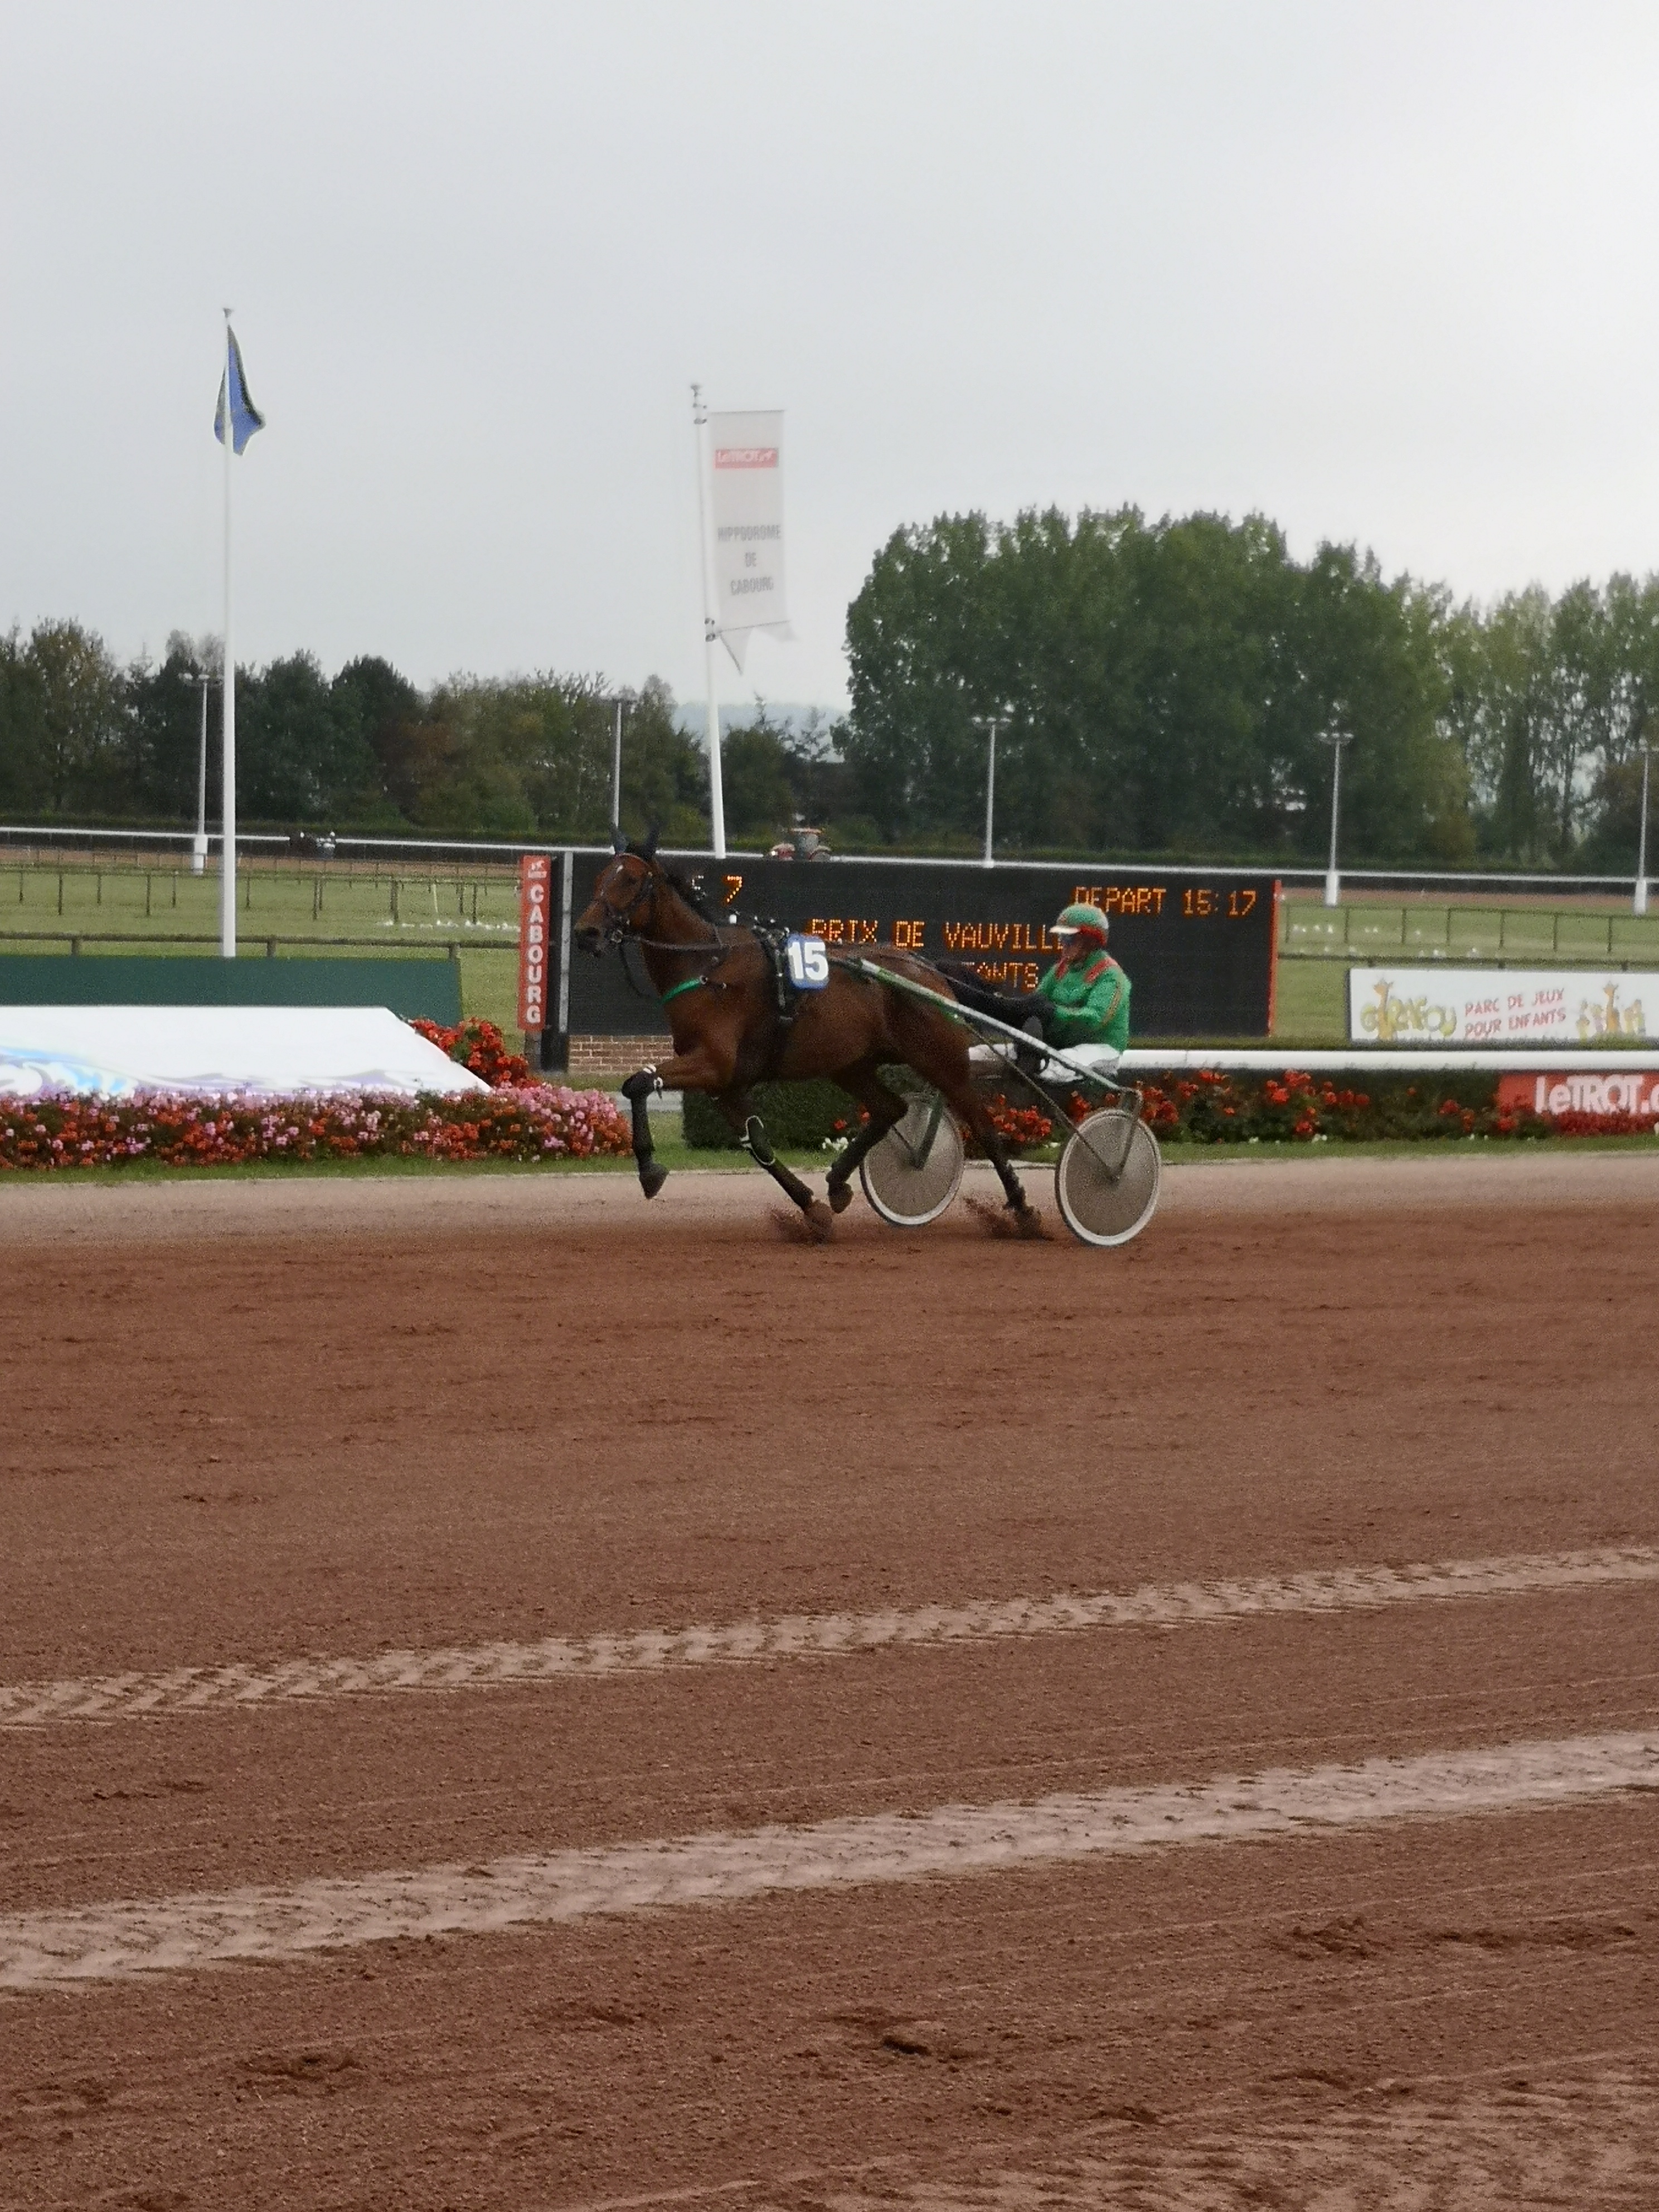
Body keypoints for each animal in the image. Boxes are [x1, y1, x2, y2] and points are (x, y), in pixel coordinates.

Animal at [572, 835, 1040, 1237]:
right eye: (599, 878)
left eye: (631, 880)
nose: (585, 932)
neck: (707, 966)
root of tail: (927, 968)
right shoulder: (725, 1084)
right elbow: (758, 1144)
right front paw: (812, 1208)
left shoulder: (713, 1063)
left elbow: (638, 1082)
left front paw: (649, 1170)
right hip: (850, 1064)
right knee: (891, 1108)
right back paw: (837, 1182)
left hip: (941, 1058)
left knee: (981, 1124)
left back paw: (1023, 1210)